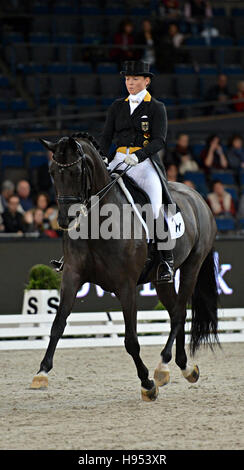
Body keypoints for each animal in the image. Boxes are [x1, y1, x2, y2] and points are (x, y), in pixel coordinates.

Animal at [31, 132, 219, 400]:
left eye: (77, 172)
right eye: (51, 172)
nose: (66, 220)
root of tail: (198, 198)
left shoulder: (126, 286)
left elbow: (131, 340)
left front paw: (147, 383)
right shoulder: (72, 276)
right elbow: (58, 324)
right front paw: (42, 373)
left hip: (192, 266)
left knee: (180, 312)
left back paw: (162, 367)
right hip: (162, 280)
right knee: (176, 311)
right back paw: (184, 367)